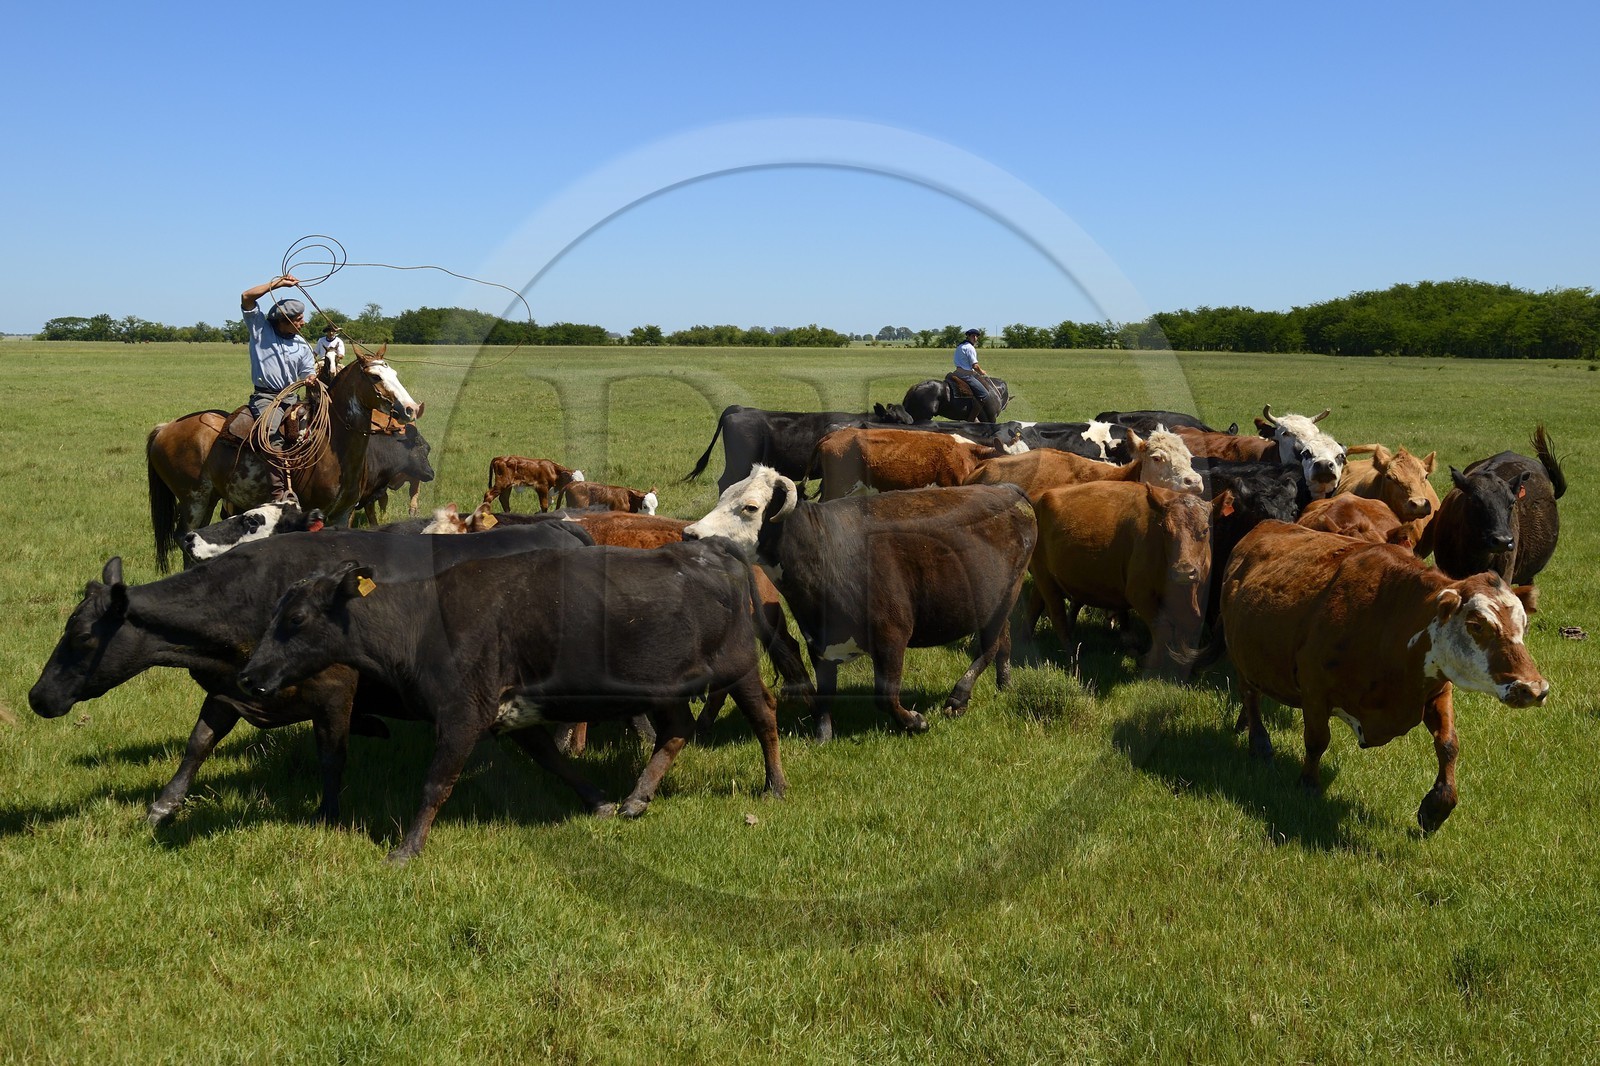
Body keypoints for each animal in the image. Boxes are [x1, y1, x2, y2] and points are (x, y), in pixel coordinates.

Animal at [28, 524, 595, 829]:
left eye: (82, 638)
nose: (37, 697)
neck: (248, 599)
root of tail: (562, 527)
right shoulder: (230, 685)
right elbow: (199, 743)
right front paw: (164, 804)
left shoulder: (334, 691)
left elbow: (331, 756)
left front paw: (328, 814)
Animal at [235, 539, 788, 862]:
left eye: (296, 619)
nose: (249, 675)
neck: (419, 620)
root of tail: (716, 551)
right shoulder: (512, 714)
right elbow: (553, 761)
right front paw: (600, 801)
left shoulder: (461, 715)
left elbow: (435, 783)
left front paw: (408, 848)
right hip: (663, 687)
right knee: (675, 730)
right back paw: (637, 797)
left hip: (739, 667)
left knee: (764, 716)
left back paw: (775, 785)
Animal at [684, 467, 1036, 742]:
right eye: (723, 497)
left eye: (750, 507)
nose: (690, 534)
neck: (826, 548)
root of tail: (1009, 489)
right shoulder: (818, 641)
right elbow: (825, 695)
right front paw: (823, 735)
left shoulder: (891, 636)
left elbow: (885, 695)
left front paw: (914, 722)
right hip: (993, 601)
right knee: (1002, 642)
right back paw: (1003, 683)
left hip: (1008, 595)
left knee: (988, 647)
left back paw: (959, 696)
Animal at [1027, 481, 1231, 675]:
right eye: (1165, 530)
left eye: (1204, 530)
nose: (1183, 571)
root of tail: (1039, 496)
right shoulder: (1139, 594)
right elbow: (1163, 629)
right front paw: (1148, 661)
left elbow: (1186, 631)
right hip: (1044, 577)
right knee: (1057, 615)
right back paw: (1073, 655)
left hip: (1043, 576)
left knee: (1034, 606)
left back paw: (1026, 639)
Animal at [1219, 520, 1548, 831]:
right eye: (1477, 625)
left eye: (1524, 625)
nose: (1534, 688)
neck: (1390, 622)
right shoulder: (1314, 690)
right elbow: (1316, 741)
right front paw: (1308, 785)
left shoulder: (1437, 688)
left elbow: (1448, 744)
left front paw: (1438, 806)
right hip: (1238, 652)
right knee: (1250, 694)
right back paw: (1258, 741)